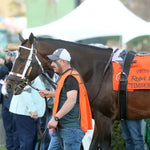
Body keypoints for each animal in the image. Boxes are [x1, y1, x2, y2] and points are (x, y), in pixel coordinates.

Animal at [5, 32, 150, 150]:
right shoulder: (98, 118)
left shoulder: (105, 118)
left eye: (22, 59)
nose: (9, 86)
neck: (99, 71)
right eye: (14, 57)